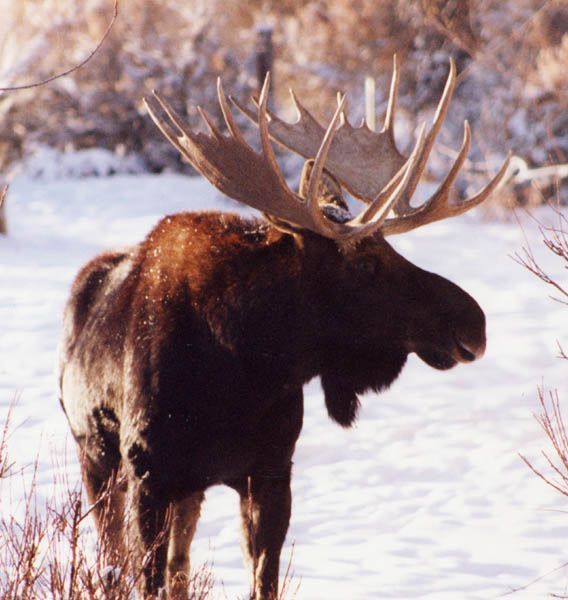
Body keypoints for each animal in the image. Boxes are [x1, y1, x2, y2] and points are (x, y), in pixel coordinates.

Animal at [58, 57, 510, 600]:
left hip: (187, 489)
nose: (474, 322)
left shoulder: (271, 470)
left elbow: (262, 581)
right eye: (366, 264)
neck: (244, 364)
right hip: (97, 458)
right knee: (114, 560)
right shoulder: (149, 472)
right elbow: (142, 578)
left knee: (180, 567)